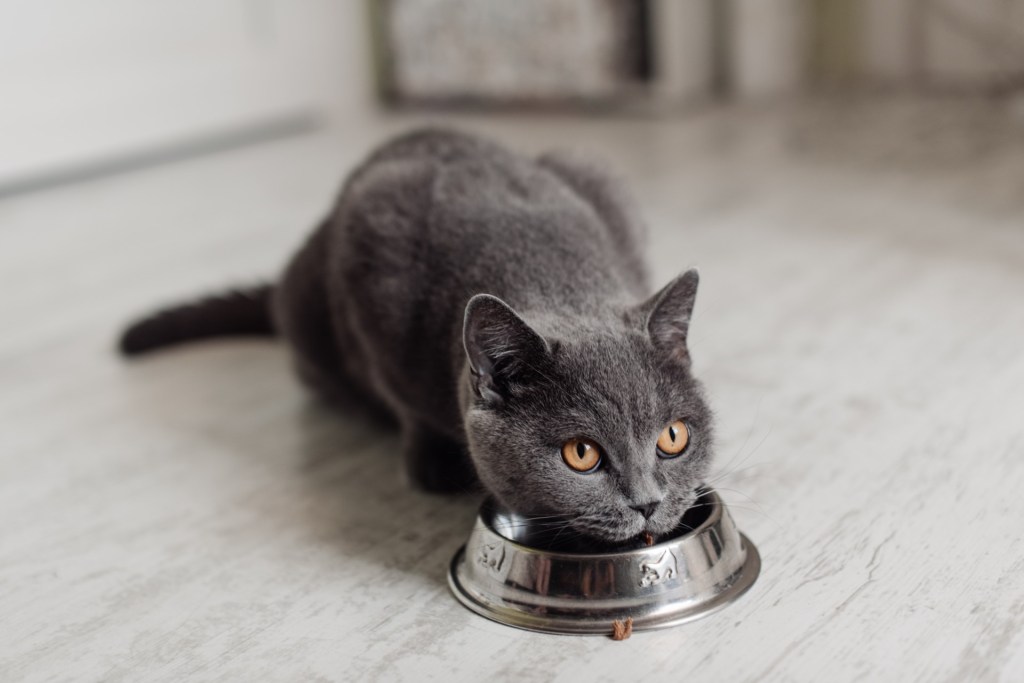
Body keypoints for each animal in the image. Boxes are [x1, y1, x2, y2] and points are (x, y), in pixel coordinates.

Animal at [121, 127, 712, 544]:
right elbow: (402, 400)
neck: (550, 271)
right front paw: (431, 462)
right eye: (581, 454)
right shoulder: (373, 256)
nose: (648, 503)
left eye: (673, 438)